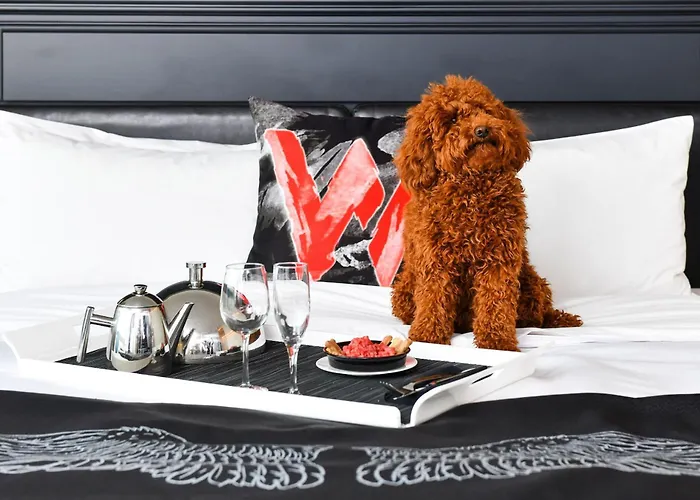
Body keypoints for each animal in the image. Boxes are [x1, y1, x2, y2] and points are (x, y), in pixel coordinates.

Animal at [390, 75, 582, 351]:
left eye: (486, 111)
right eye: (452, 120)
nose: (482, 130)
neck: (472, 188)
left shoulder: (499, 257)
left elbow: (496, 301)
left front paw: (497, 342)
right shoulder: (435, 259)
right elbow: (434, 297)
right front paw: (429, 337)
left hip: (533, 285)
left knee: (538, 316)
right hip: (403, 292)